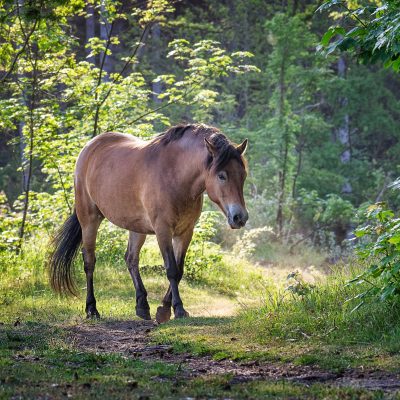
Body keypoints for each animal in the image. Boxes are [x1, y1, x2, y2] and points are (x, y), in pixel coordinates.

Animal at [46, 123, 247, 324]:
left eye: (243, 176)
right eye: (221, 176)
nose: (240, 217)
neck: (174, 173)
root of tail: (90, 146)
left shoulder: (185, 232)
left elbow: (179, 270)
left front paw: (164, 308)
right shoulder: (163, 230)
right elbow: (171, 269)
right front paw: (177, 309)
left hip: (136, 227)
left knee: (131, 259)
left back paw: (142, 305)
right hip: (89, 220)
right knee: (89, 262)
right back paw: (92, 309)